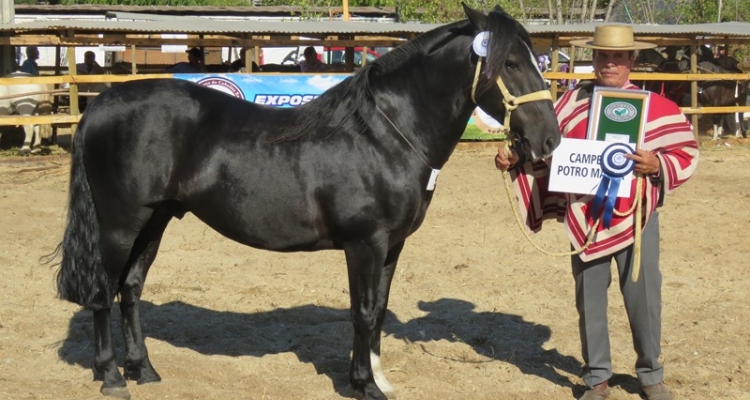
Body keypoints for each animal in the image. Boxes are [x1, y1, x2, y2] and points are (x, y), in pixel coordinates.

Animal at [55, 3, 560, 400]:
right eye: (510, 63)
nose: (549, 140)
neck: (383, 136)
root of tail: (101, 104)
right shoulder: (365, 244)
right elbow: (362, 313)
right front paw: (364, 386)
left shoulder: (392, 246)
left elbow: (378, 311)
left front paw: (378, 378)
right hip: (119, 225)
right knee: (103, 290)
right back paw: (111, 376)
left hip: (155, 220)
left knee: (130, 288)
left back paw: (144, 369)